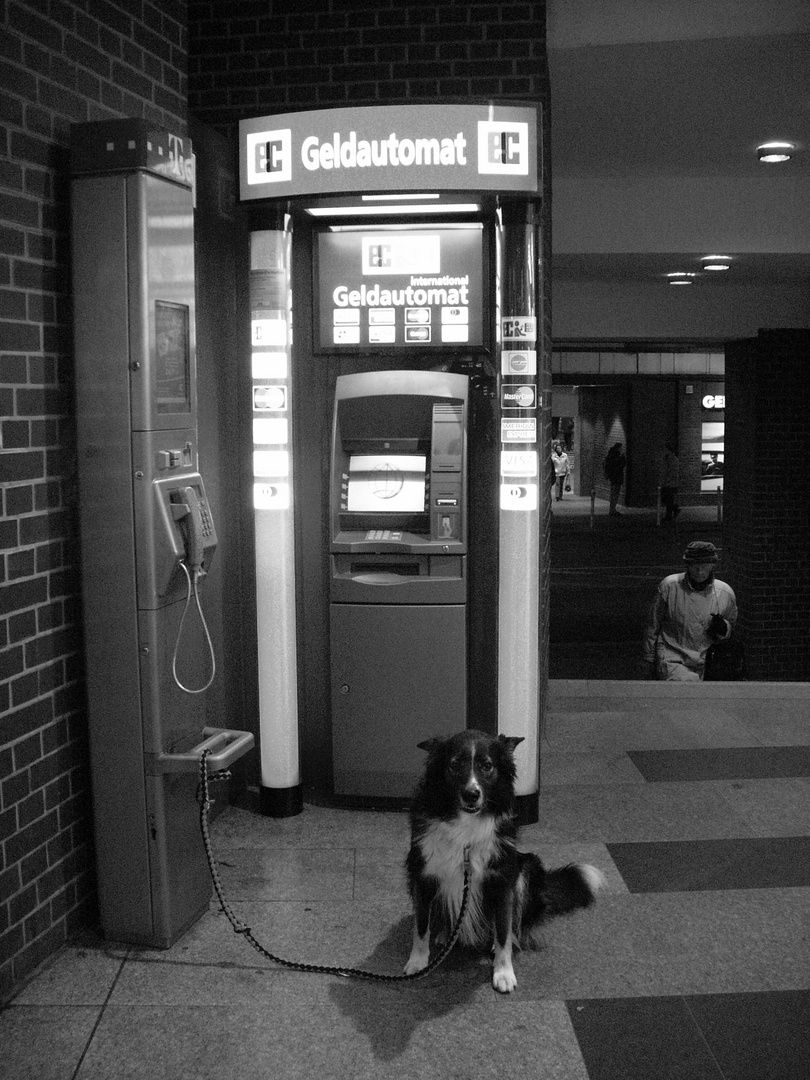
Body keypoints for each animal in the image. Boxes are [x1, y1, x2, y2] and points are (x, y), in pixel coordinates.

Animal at [403, 730, 604, 989]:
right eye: (454, 765)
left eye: (487, 766)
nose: (471, 794)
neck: (465, 828)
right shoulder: (422, 874)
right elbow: (420, 927)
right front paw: (418, 963)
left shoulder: (502, 881)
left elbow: (502, 933)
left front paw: (504, 972)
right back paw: (446, 933)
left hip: (526, 868)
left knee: (515, 925)